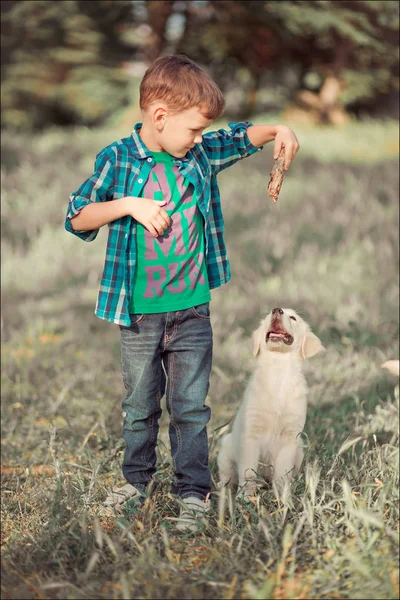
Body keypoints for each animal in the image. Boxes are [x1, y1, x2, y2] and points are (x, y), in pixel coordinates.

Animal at [217, 308, 324, 494]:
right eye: (268, 315)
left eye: (293, 317)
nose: (277, 310)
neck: (278, 368)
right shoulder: (251, 435)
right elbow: (248, 471)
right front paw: (246, 496)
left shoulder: (290, 437)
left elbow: (282, 473)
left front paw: (282, 496)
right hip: (226, 449)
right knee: (227, 476)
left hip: (299, 449)